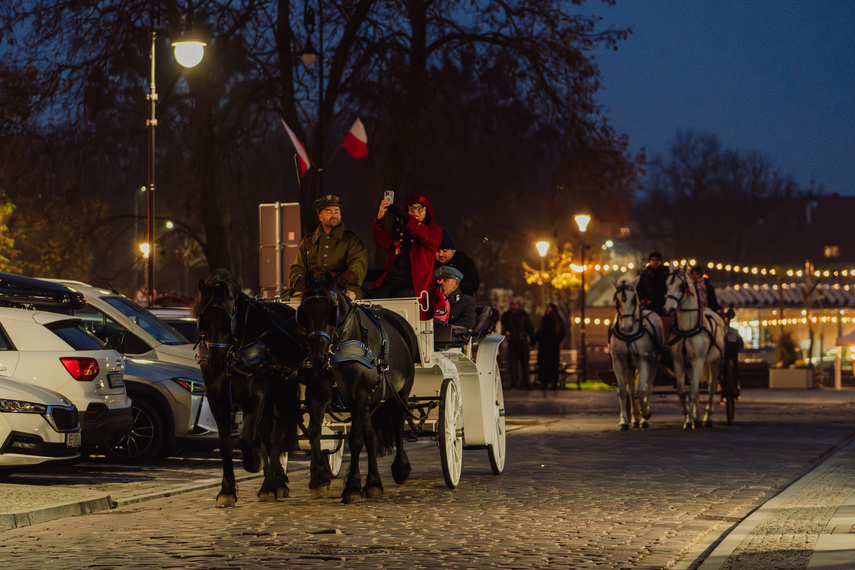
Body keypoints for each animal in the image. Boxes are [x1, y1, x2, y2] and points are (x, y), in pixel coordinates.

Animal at [193, 268, 304, 504]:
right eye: (203, 318)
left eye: (229, 317)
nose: (216, 361)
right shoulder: (217, 399)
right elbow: (225, 443)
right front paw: (226, 491)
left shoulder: (258, 396)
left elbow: (246, 437)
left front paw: (254, 462)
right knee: (266, 435)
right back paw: (277, 480)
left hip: (281, 395)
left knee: (275, 438)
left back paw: (271, 486)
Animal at [300, 274, 420, 502]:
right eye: (304, 309)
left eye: (332, 308)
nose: (317, 354)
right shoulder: (316, 396)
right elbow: (314, 433)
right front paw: (320, 479)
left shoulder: (359, 396)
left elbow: (355, 440)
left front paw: (352, 488)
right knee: (371, 436)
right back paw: (373, 483)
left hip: (401, 394)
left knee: (398, 425)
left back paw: (401, 469)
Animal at [608, 278, 664, 428]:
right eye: (616, 300)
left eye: (634, 299)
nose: (626, 327)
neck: (629, 336)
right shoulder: (619, 362)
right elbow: (623, 391)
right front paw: (624, 420)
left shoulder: (644, 361)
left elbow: (641, 391)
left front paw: (646, 414)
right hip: (630, 366)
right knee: (632, 390)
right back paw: (635, 417)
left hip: (653, 363)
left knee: (647, 388)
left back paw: (643, 418)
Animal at [664, 266, 724, 426]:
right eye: (666, 284)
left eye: (682, 285)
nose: (668, 309)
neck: (687, 329)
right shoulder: (678, 361)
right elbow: (682, 391)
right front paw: (688, 416)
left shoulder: (698, 360)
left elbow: (693, 391)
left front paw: (690, 420)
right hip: (690, 365)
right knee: (696, 389)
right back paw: (697, 416)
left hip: (715, 360)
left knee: (711, 387)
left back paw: (707, 417)